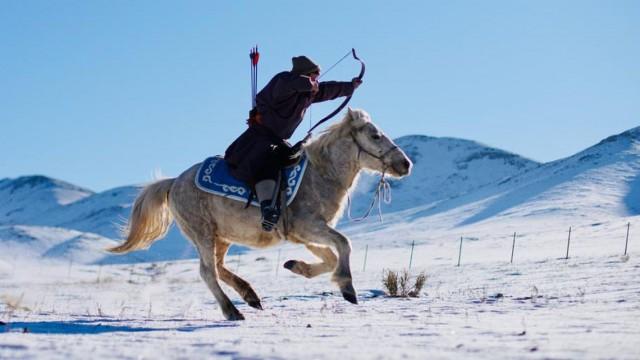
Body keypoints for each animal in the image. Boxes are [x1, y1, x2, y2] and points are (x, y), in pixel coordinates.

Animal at [107, 107, 412, 320]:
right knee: (207, 271)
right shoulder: (308, 226)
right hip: (202, 232)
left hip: (221, 237)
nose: (405, 164)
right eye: (374, 135)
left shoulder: (305, 234)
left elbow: (330, 257)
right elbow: (343, 245)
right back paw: (233, 311)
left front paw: (296, 266)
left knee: (218, 267)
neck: (320, 173)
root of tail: (173, 183)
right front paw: (348, 289)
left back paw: (251, 296)